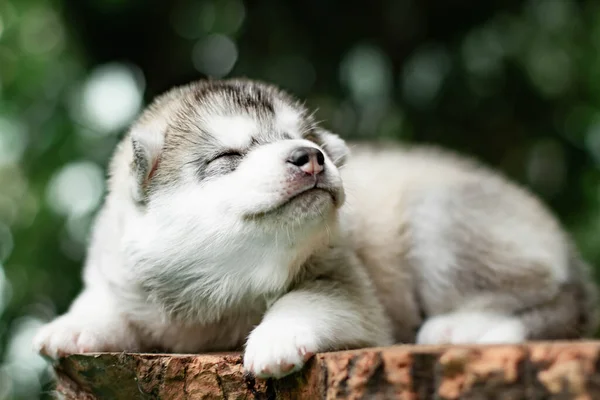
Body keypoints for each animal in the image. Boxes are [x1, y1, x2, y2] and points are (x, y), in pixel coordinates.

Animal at [34, 77, 600, 378]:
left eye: (302, 138)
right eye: (228, 157)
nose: (311, 157)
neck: (219, 292)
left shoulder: (349, 289)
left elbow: (307, 302)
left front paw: (274, 338)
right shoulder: (125, 274)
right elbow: (103, 302)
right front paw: (70, 326)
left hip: (441, 216)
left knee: (557, 301)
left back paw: (460, 326)